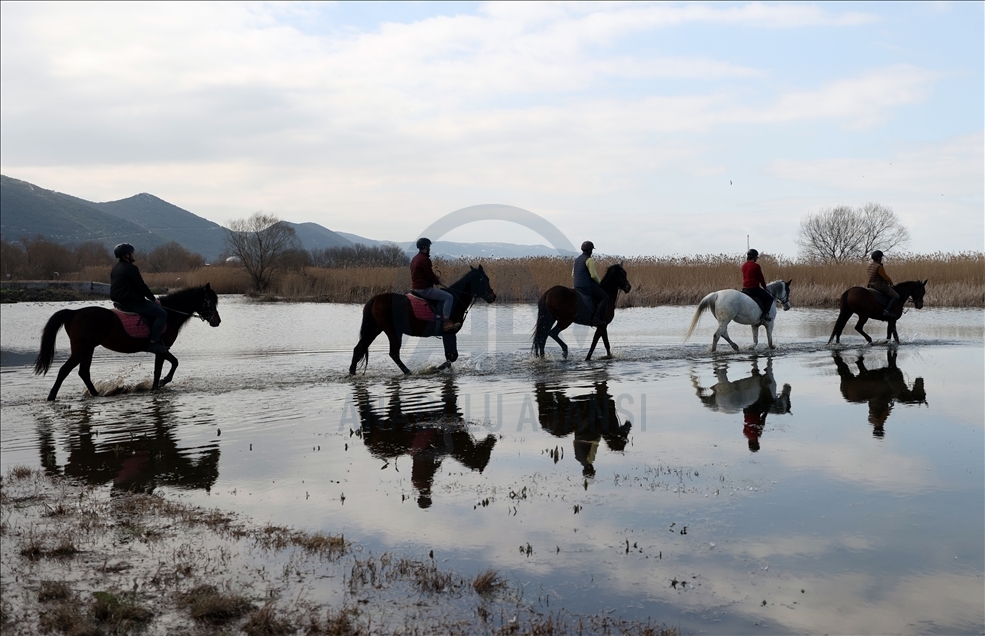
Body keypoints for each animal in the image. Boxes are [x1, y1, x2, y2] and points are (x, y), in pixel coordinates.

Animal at [34, 284, 221, 400]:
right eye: (209, 301)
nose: (217, 321)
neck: (170, 314)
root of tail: (74, 313)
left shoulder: (159, 351)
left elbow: (160, 370)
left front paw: (156, 387)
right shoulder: (161, 348)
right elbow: (171, 364)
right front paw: (161, 383)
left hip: (88, 350)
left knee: (84, 373)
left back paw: (96, 394)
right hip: (81, 350)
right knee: (64, 371)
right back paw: (51, 397)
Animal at [350, 266, 496, 376]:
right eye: (485, 279)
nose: (493, 296)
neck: (455, 299)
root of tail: (375, 299)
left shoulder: (447, 335)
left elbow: (450, 356)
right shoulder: (449, 333)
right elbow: (453, 356)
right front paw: (434, 369)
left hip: (374, 329)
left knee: (358, 349)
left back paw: (352, 373)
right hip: (393, 331)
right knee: (394, 354)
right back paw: (409, 372)